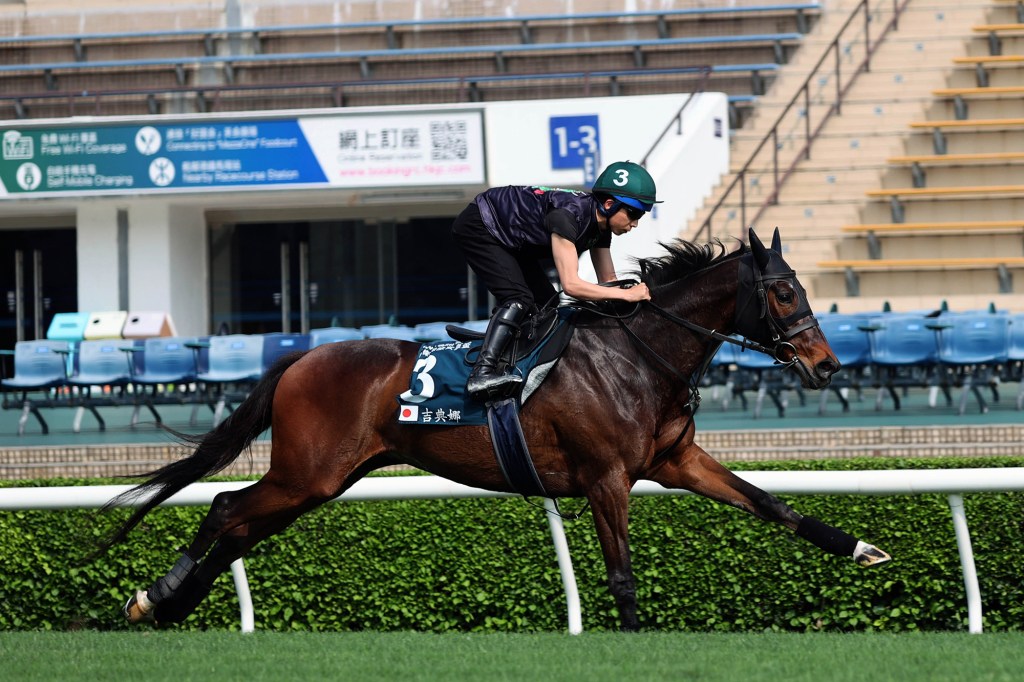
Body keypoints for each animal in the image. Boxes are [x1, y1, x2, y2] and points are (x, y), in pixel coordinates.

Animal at [105, 228, 890, 632]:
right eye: (783, 291)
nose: (825, 365)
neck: (639, 355)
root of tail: (302, 356)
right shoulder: (606, 478)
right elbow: (622, 576)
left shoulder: (675, 463)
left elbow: (773, 505)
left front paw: (862, 549)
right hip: (309, 471)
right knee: (224, 507)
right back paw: (156, 596)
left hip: (321, 481)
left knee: (241, 526)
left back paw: (167, 602)